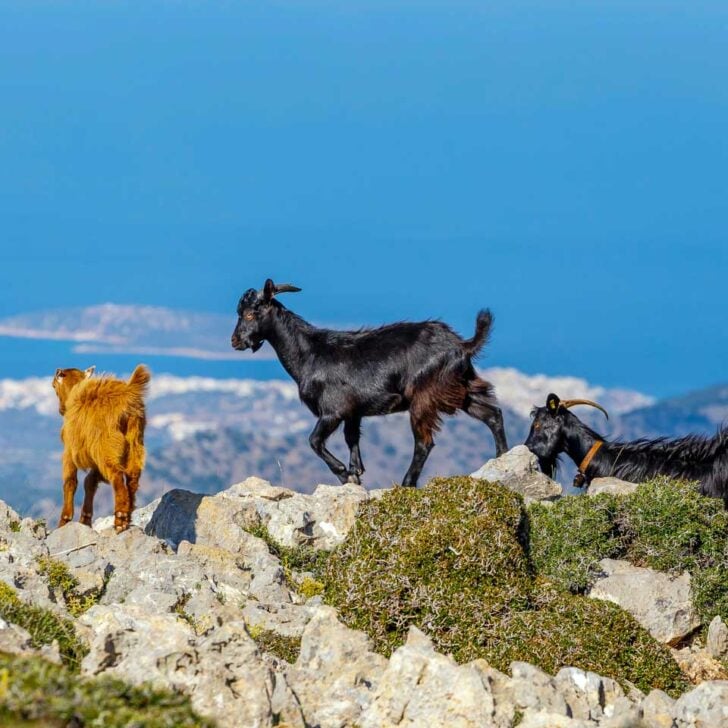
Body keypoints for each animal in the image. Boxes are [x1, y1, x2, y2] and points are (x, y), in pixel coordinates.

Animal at [52, 364, 150, 532]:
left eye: (54, 386)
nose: (61, 410)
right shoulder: (94, 455)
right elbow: (90, 482)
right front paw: (85, 519)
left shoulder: (70, 449)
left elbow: (70, 481)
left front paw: (64, 521)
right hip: (135, 442)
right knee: (132, 477)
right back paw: (128, 515)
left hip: (107, 446)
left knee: (117, 475)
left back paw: (120, 518)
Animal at [231, 278, 507, 487]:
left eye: (250, 313)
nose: (235, 341)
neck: (309, 353)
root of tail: (462, 345)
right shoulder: (353, 413)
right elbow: (351, 438)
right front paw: (356, 472)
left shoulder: (332, 411)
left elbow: (314, 441)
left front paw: (345, 474)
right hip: (462, 387)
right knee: (492, 414)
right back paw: (502, 458)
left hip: (424, 395)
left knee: (424, 442)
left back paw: (407, 483)